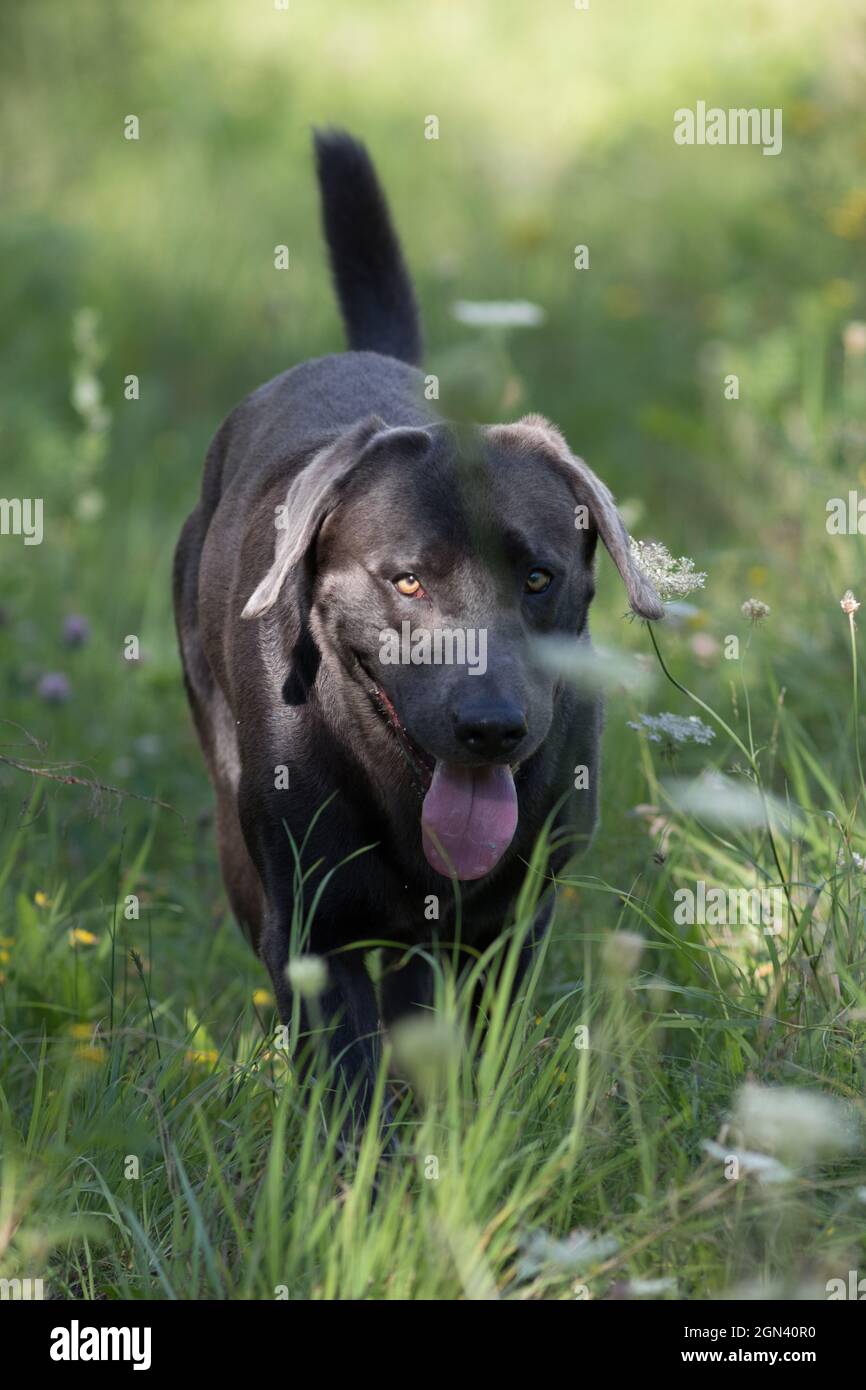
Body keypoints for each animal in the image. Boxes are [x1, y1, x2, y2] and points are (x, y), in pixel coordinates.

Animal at [176, 130, 664, 1123]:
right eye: (406, 580)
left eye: (538, 578)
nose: (492, 728)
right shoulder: (312, 928)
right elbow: (346, 1075)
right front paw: (363, 1157)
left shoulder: (508, 925)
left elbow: (471, 1050)